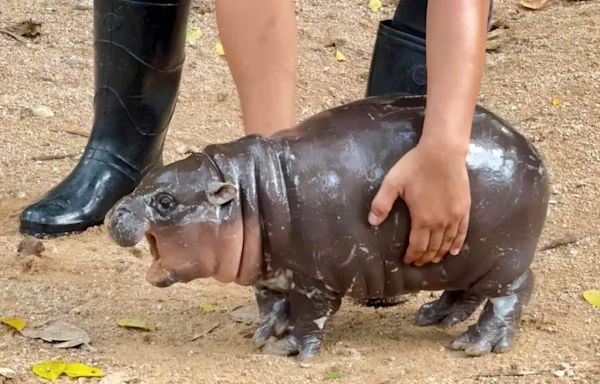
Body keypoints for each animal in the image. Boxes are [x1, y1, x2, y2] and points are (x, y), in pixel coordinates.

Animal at [104, 95, 548, 360]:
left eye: (165, 202)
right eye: (146, 179)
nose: (113, 214)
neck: (248, 194)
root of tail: (532, 151)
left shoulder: (314, 279)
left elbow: (309, 315)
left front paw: (289, 349)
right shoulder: (271, 272)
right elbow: (270, 302)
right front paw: (267, 333)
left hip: (502, 259)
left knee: (513, 292)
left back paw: (476, 345)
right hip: (461, 256)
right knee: (466, 291)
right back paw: (434, 316)